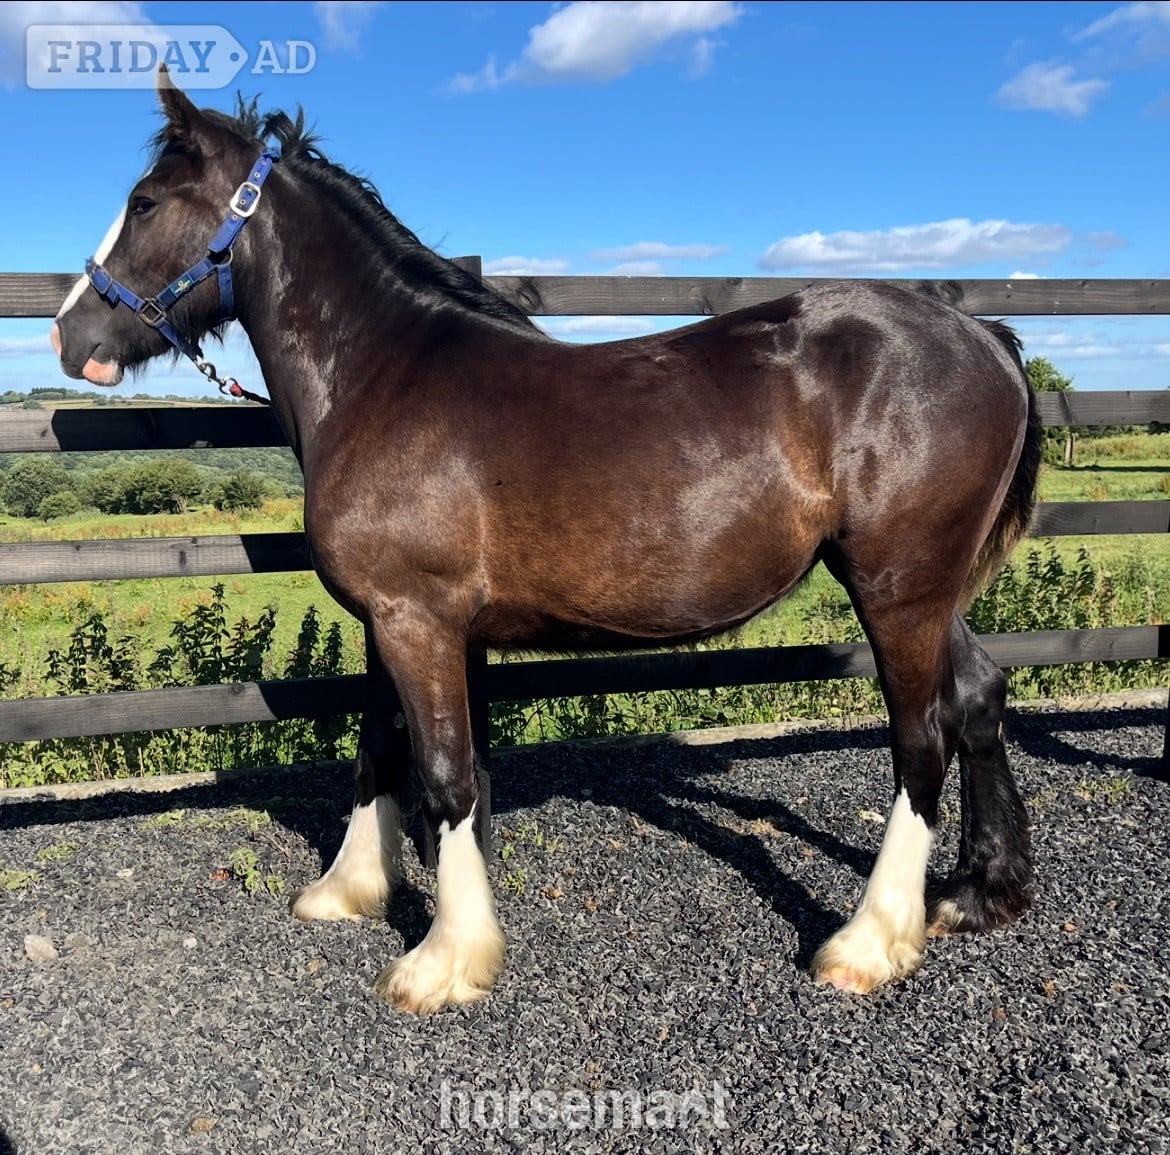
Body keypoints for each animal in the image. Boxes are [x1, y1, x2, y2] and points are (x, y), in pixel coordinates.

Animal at [51, 69, 1041, 1014]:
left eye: (144, 201)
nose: (69, 334)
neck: (380, 373)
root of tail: (984, 337)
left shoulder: (418, 619)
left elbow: (447, 774)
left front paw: (446, 960)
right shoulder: (388, 618)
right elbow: (380, 746)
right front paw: (349, 889)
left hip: (896, 588)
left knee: (920, 741)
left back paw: (867, 942)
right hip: (921, 587)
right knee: (978, 694)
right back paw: (979, 892)